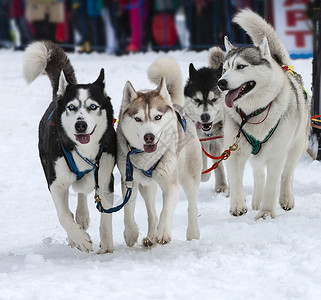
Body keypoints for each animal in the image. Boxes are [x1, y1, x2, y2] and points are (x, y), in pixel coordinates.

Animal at [23, 41, 116, 252]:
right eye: (71, 107)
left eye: (93, 106)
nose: (80, 125)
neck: (83, 153)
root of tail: (55, 98)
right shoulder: (56, 183)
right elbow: (64, 216)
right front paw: (79, 239)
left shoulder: (105, 177)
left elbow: (106, 213)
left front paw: (106, 245)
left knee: (83, 189)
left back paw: (82, 216)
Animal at [116, 56, 201, 248]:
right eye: (138, 119)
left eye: (158, 117)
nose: (149, 137)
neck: (147, 158)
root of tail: (176, 106)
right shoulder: (129, 180)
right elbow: (127, 211)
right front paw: (131, 233)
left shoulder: (171, 184)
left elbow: (165, 211)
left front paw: (163, 233)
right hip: (146, 186)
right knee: (151, 212)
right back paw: (150, 236)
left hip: (189, 176)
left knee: (192, 205)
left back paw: (193, 233)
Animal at [216, 9, 308, 219]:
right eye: (225, 69)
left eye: (241, 66)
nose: (221, 82)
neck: (254, 113)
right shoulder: (234, 150)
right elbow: (236, 180)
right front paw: (238, 205)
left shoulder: (277, 155)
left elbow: (273, 184)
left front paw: (266, 213)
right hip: (256, 154)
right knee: (259, 174)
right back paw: (256, 200)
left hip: (296, 146)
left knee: (287, 175)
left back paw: (285, 198)